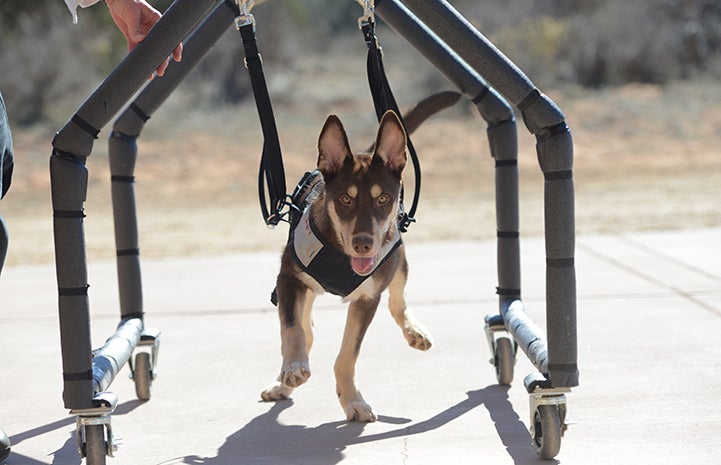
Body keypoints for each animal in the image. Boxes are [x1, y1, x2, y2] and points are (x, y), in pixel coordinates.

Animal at [262, 92, 458, 422]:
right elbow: (291, 328)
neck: (339, 255)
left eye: (383, 199)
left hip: (397, 257)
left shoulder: (367, 298)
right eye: (344, 199)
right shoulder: (289, 278)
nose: (364, 244)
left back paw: (415, 331)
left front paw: (353, 402)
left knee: (397, 301)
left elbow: (347, 355)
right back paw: (282, 383)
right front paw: (292, 369)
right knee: (306, 329)